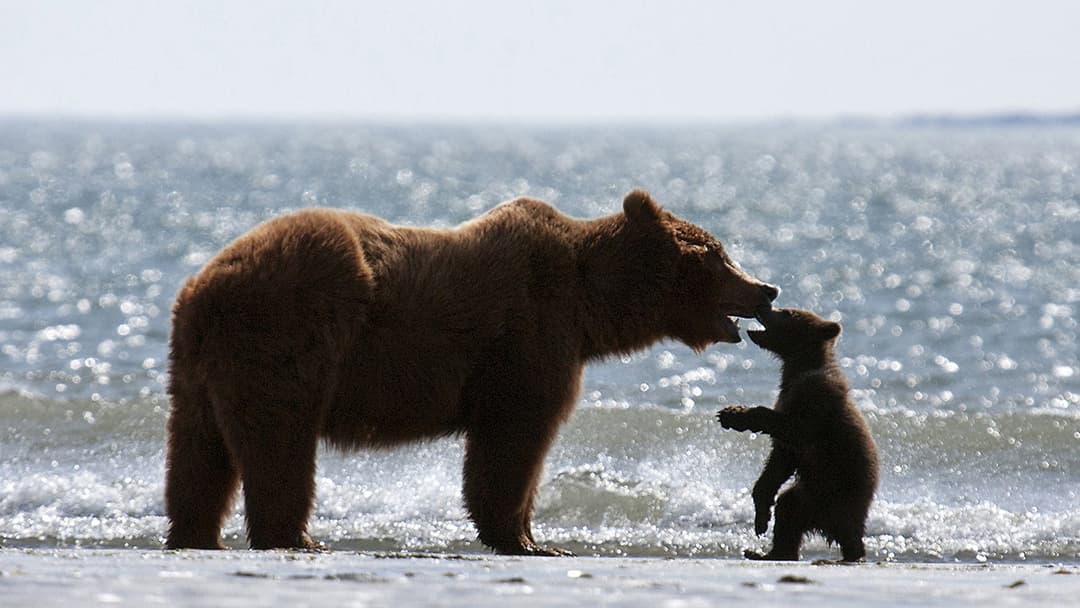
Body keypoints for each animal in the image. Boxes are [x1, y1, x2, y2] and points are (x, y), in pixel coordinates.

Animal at [164, 189, 779, 555]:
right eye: (718, 255)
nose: (767, 288)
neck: (590, 307)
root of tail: (201, 287)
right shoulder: (529, 337)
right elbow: (514, 438)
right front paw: (527, 539)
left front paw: (531, 535)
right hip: (288, 335)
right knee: (280, 440)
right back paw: (293, 537)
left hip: (197, 368)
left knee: (198, 451)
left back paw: (197, 535)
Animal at [717, 307, 878, 562]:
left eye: (786, 312)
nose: (764, 307)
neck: (799, 367)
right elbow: (778, 463)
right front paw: (761, 516)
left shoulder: (816, 399)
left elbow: (794, 429)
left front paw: (734, 415)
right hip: (808, 495)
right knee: (788, 513)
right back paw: (767, 552)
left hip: (838, 492)